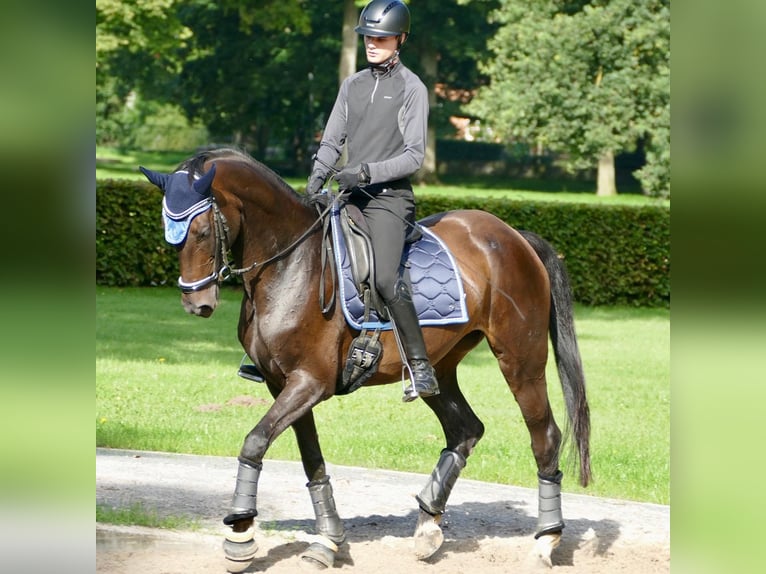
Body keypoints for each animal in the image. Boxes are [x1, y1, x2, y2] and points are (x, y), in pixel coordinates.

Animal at [141, 147, 591, 571]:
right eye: (168, 231)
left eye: (201, 230)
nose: (196, 304)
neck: (291, 265)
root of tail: (513, 235)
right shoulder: (285, 384)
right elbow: (311, 460)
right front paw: (326, 541)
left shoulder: (309, 383)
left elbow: (254, 442)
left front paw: (240, 532)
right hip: (440, 368)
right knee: (465, 429)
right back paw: (428, 526)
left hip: (520, 361)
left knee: (545, 436)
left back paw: (545, 541)